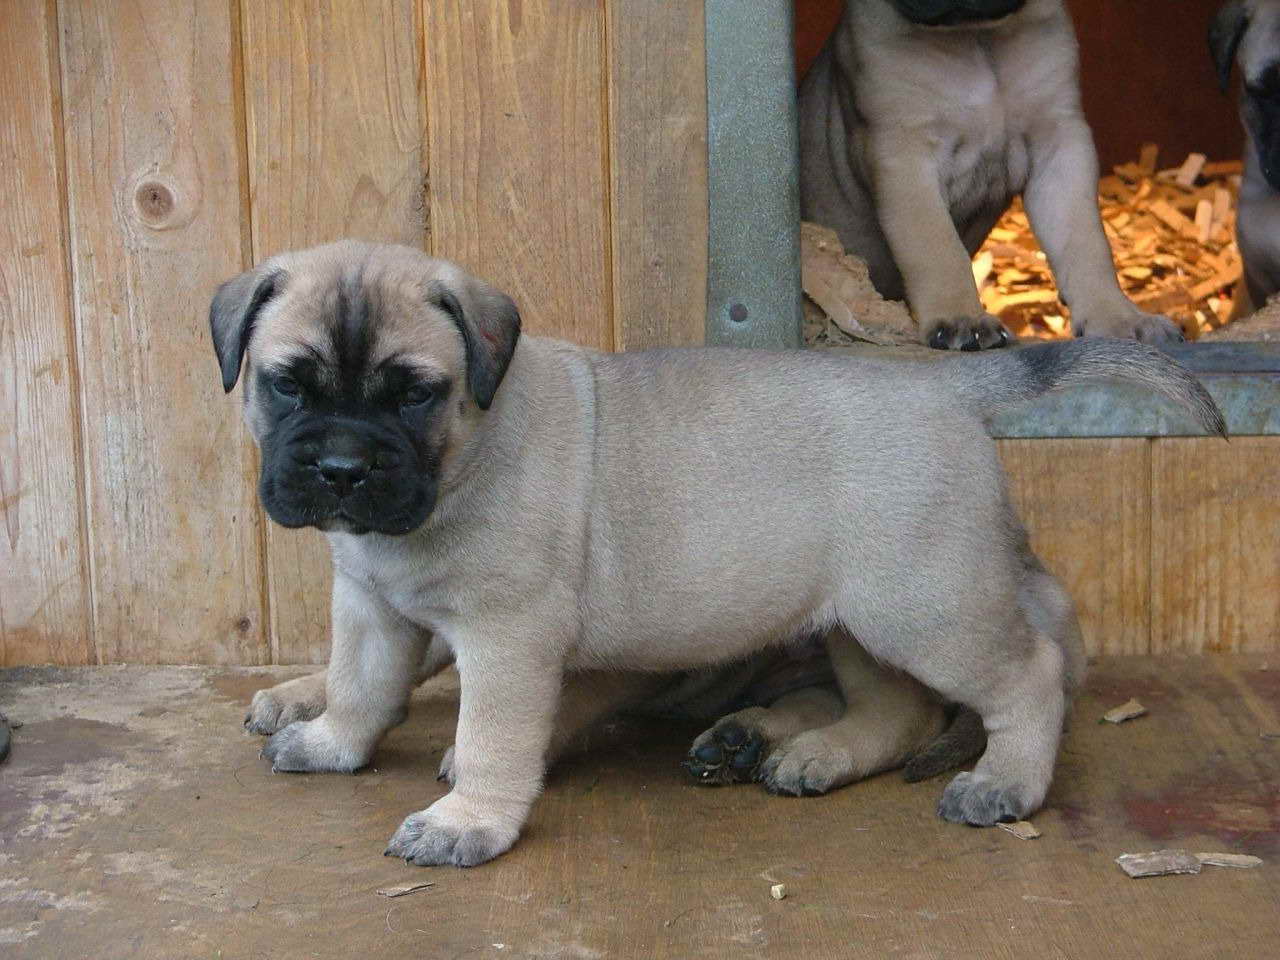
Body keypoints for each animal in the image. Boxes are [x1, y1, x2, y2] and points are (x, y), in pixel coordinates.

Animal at [209, 241, 1218, 870]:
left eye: (414, 394)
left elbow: (489, 737)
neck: (456, 462)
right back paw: (816, 754)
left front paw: (468, 824)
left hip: (928, 608)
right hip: (855, 621)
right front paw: (334, 742)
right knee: (896, 710)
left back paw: (1005, 782)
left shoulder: (505, 641)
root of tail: (944, 390)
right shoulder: (371, 612)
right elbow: (360, 686)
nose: (341, 470)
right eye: (287, 385)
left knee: (1029, 676)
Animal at [793, 0, 1182, 350]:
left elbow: (1085, 241)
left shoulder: (1060, 146)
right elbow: (936, 245)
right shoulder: (904, 155)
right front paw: (962, 319)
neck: (977, 39)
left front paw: (1119, 318)